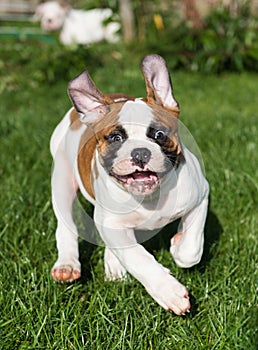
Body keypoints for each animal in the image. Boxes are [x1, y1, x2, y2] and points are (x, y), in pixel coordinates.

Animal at [50, 54, 210, 314]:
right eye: (116, 138)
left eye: (159, 135)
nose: (140, 152)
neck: (150, 197)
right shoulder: (112, 225)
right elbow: (137, 258)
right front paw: (168, 291)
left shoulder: (200, 197)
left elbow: (192, 248)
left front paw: (178, 245)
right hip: (62, 179)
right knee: (66, 225)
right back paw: (67, 264)